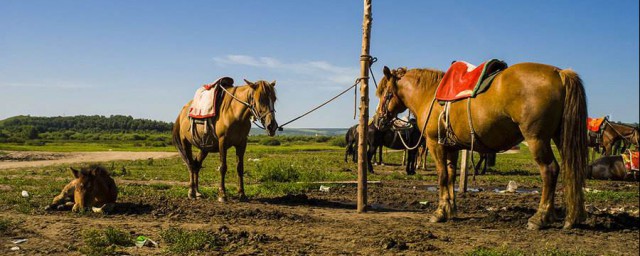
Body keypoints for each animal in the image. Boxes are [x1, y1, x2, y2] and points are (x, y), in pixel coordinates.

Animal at [376, 62, 592, 230]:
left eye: (385, 93)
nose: (378, 119)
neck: (430, 96)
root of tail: (560, 73)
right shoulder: (451, 147)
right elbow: (451, 176)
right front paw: (450, 210)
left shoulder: (435, 144)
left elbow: (442, 176)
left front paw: (439, 212)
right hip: (560, 137)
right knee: (570, 170)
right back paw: (571, 217)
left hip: (536, 139)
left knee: (550, 170)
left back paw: (540, 217)